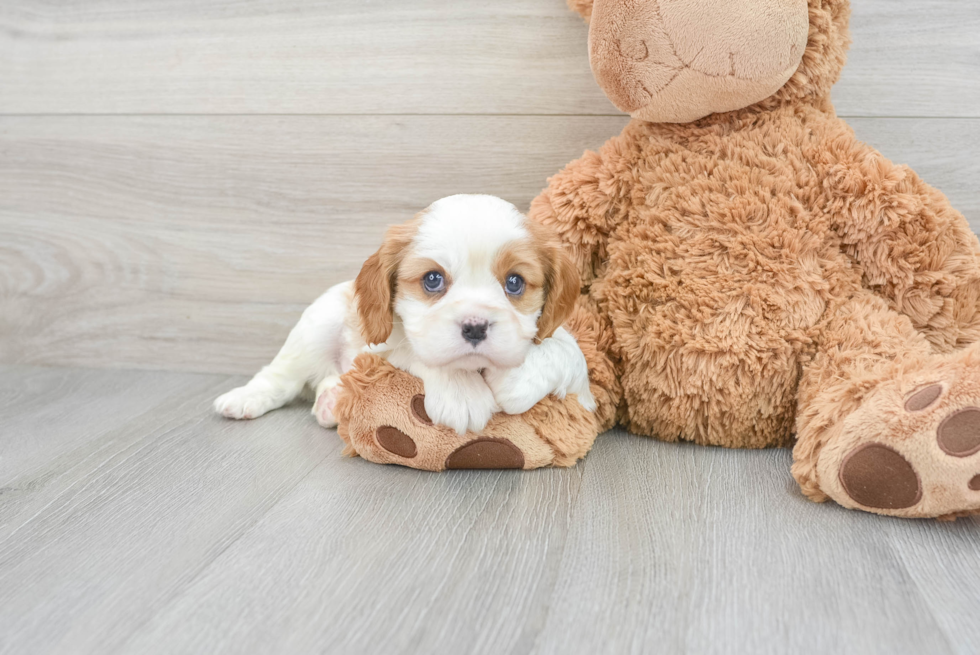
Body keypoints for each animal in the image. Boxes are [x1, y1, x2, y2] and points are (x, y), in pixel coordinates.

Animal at [214, 197, 596, 438]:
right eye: (433, 279)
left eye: (514, 282)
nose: (475, 327)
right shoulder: (379, 347)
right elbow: (415, 351)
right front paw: (462, 392)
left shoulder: (580, 382)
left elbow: (569, 352)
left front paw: (518, 380)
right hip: (319, 322)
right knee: (280, 376)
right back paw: (246, 398)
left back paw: (331, 400)